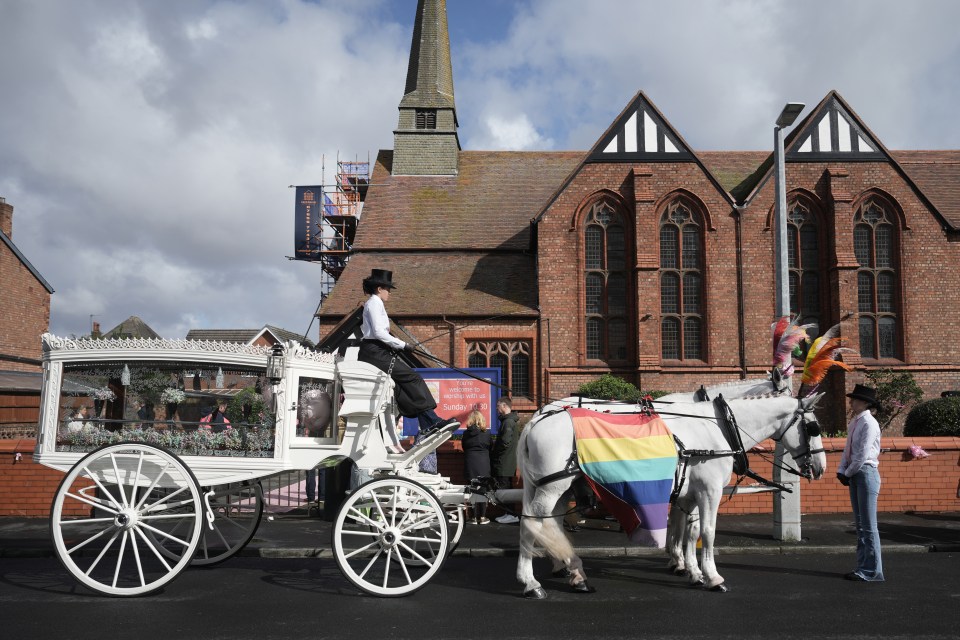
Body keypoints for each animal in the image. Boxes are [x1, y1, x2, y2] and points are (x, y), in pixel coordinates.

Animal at [516, 392, 824, 596]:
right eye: (812, 428)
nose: (821, 468)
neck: (718, 426)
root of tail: (535, 420)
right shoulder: (710, 491)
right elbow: (707, 533)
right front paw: (712, 576)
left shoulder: (690, 494)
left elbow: (689, 531)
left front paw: (691, 570)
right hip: (554, 484)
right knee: (532, 522)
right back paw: (531, 582)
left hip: (556, 484)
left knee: (549, 522)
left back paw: (573, 571)